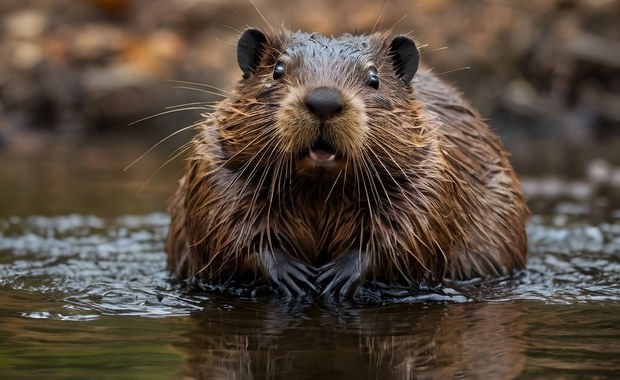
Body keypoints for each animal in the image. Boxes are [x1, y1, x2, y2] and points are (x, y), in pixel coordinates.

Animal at [165, 28, 528, 298]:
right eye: (277, 70)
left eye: (374, 78)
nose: (324, 100)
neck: (319, 191)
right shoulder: (214, 164)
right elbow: (223, 225)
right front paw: (294, 274)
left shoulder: (430, 170)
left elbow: (412, 229)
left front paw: (335, 276)